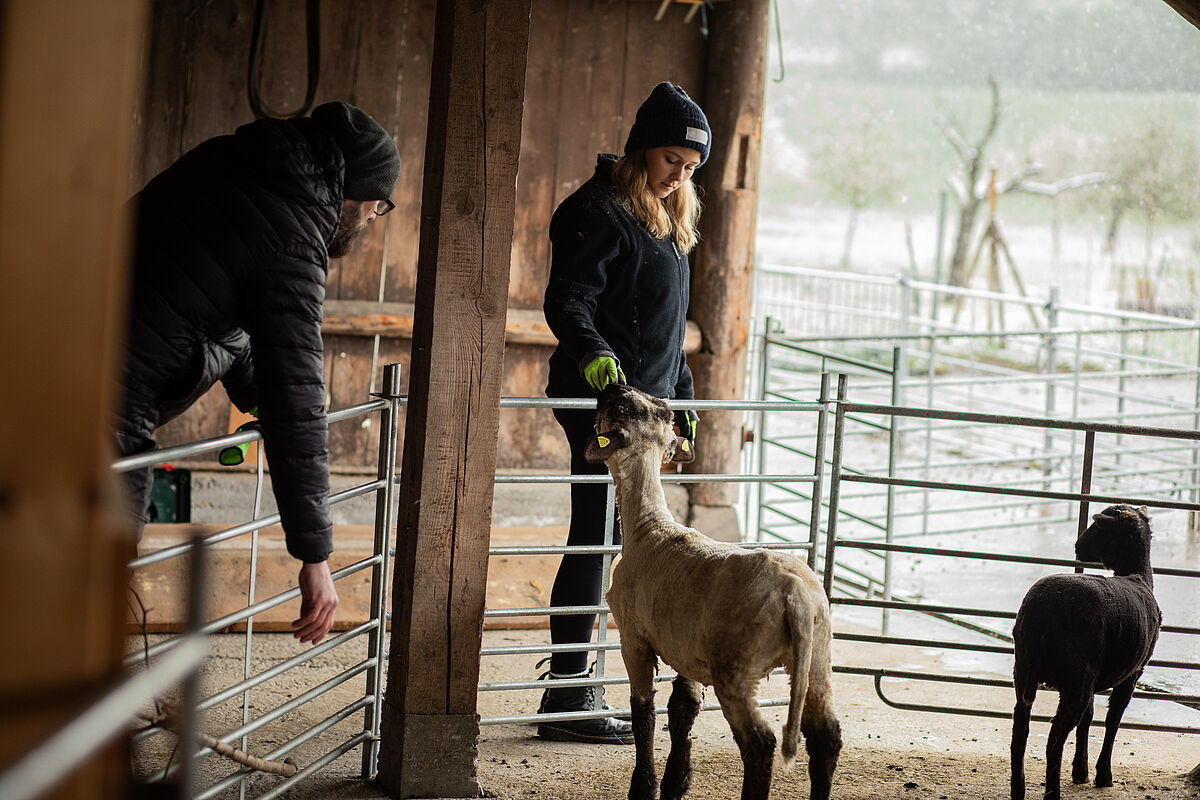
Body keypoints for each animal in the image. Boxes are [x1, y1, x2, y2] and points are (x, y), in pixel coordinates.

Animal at [585, 383, 840, 796]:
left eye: (620, 408)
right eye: (661, 407)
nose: (613, 385)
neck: (649, 527)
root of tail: (796, 595)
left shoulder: (634, 638)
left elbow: (644, 712)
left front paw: (644, 787)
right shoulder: (685, 648)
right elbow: (682, 711)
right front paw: (676, 782)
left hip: (737, 670)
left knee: (760, 742)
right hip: (819, 656)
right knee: (826, 736)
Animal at [1008, 506, 1166, 800]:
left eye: (1098, 528)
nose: (1077, 546)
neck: (1138, 574)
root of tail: (1039, 611)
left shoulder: (1094, 677)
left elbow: (1088, 719)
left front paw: (1080, 772)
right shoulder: (1133, 674)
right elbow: (1113, 720)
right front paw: (1103, 775)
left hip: (1026, 670)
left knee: (1019, 731)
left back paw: (1018, 790)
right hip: (1075, 677)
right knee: (1054, 739)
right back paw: (1052, 793)